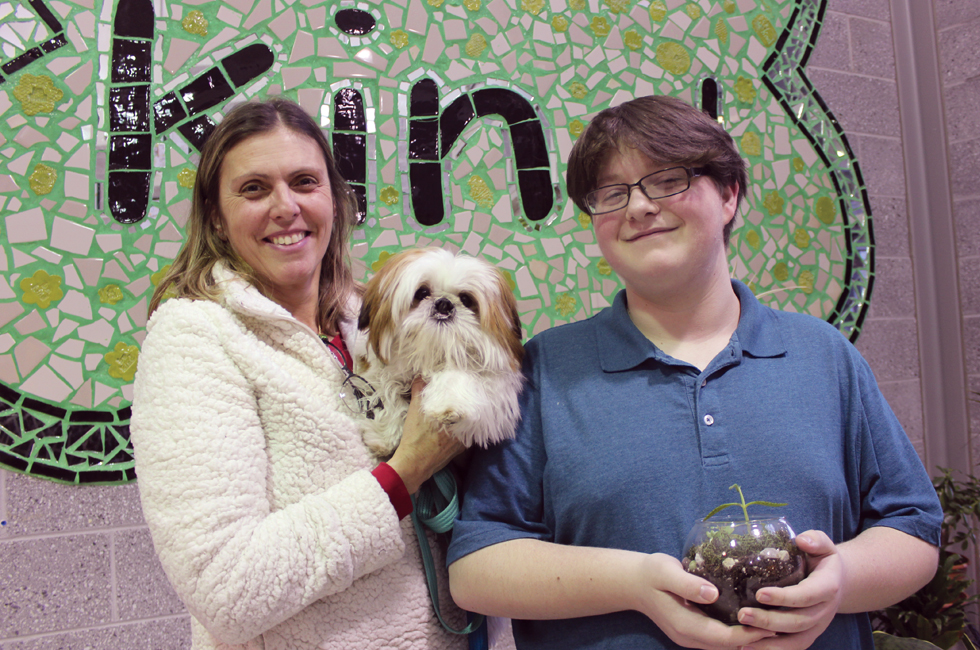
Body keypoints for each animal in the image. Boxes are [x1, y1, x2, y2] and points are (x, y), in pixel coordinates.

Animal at [358, 246, 528, 454]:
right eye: (421, 292)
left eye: (466, 299)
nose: (444, 303)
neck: (434, 354)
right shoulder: (378, 374)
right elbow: (386, 392)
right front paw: (384, 435)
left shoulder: (497, 397)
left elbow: (458, 373)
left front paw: (449, 403)